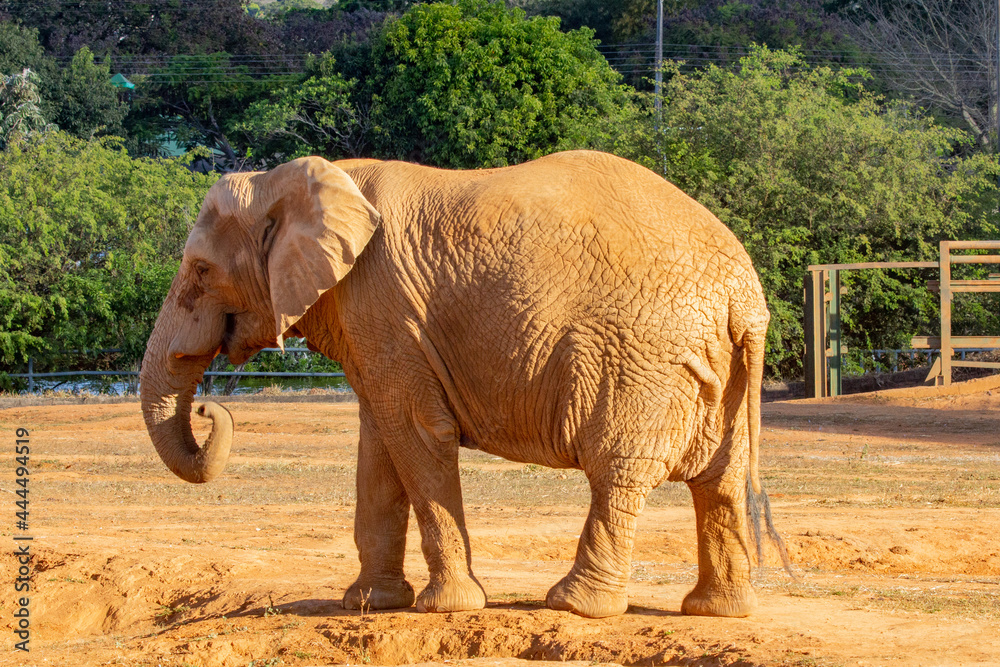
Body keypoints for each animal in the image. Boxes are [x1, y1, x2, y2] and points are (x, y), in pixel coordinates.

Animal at [140, 149, 776, 619]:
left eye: (200, 272)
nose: (209, 409)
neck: (288, 179)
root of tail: (742, 294)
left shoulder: (383, 304)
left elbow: (416, 433)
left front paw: (446, 608)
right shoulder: (376, 322)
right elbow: (379, 445)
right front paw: (368, 603)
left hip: (641, 358)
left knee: (617, 471)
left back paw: (575, 606)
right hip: (715, 367)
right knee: (719, 480)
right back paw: (717, 611)